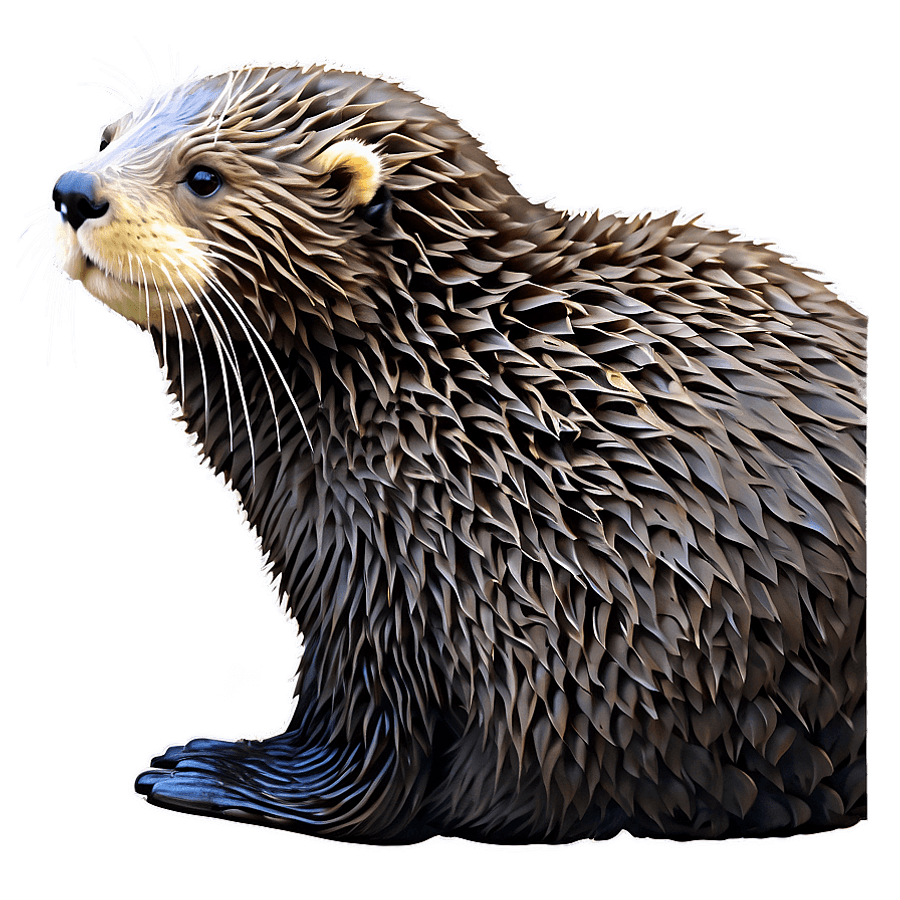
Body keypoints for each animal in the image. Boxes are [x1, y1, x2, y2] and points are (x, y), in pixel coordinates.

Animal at [19, 44, 867, 846]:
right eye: (107, 136)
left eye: (204, 177)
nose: (74, 191)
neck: (448, 399)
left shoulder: (412, 572)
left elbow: (371, 756)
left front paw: (212, 770)